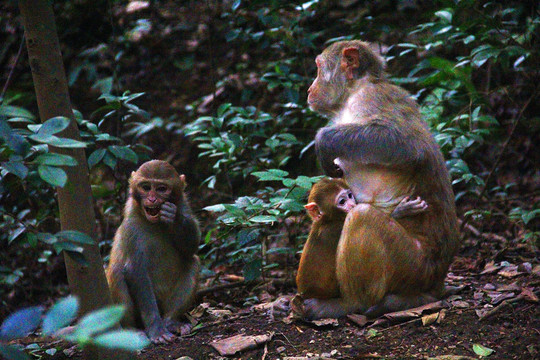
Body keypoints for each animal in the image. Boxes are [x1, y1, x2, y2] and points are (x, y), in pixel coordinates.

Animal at [105, 160, 200, 344]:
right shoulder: (131, 227)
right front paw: (157, 330)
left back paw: (171, 321)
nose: (152, 199)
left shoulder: (183, 205)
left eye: (161, 188)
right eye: (146, 187)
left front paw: (174, 217)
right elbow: (135, 270)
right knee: (116, 271)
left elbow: (191, 247)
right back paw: (133, 330)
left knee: (193, 262)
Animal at [296, 40, 460, 320]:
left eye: (317, 68)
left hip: (415, 266)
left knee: (362, 217)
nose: (309, 88)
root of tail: (437, 280)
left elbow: (407, 145)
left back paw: (352, 304)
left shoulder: (372, 100)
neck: (353, 93)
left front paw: (323, 141)